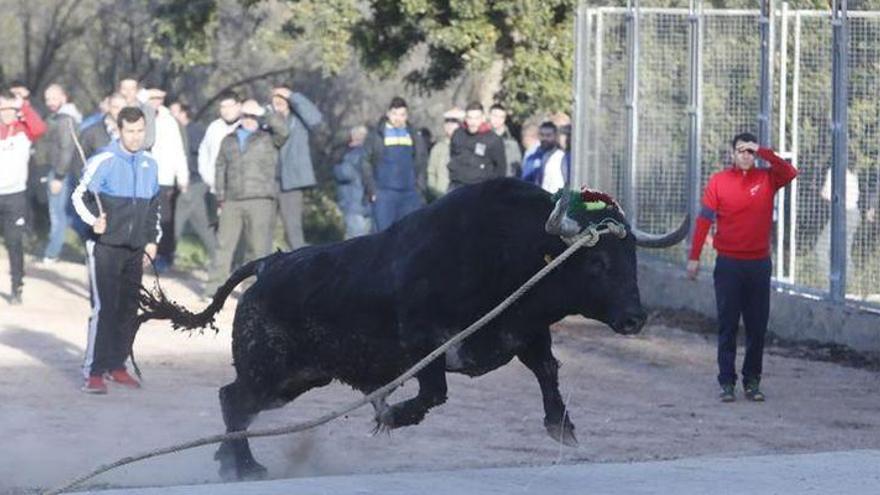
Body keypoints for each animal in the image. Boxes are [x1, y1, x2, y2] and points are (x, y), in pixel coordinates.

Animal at [139, 178, 688, 480]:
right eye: (595, 264)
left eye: (631, 257)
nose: (636, 318)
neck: (510, 254)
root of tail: (269, 263)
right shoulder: (427, 343)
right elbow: (434, 394)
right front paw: (391, 413)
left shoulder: (527, 333)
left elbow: (549, 372)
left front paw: (563, 428)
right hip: (272, 373)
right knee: (233, 399)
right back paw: (243, 465)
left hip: (296, 380)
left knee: (235, 403)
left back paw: (228, 460)